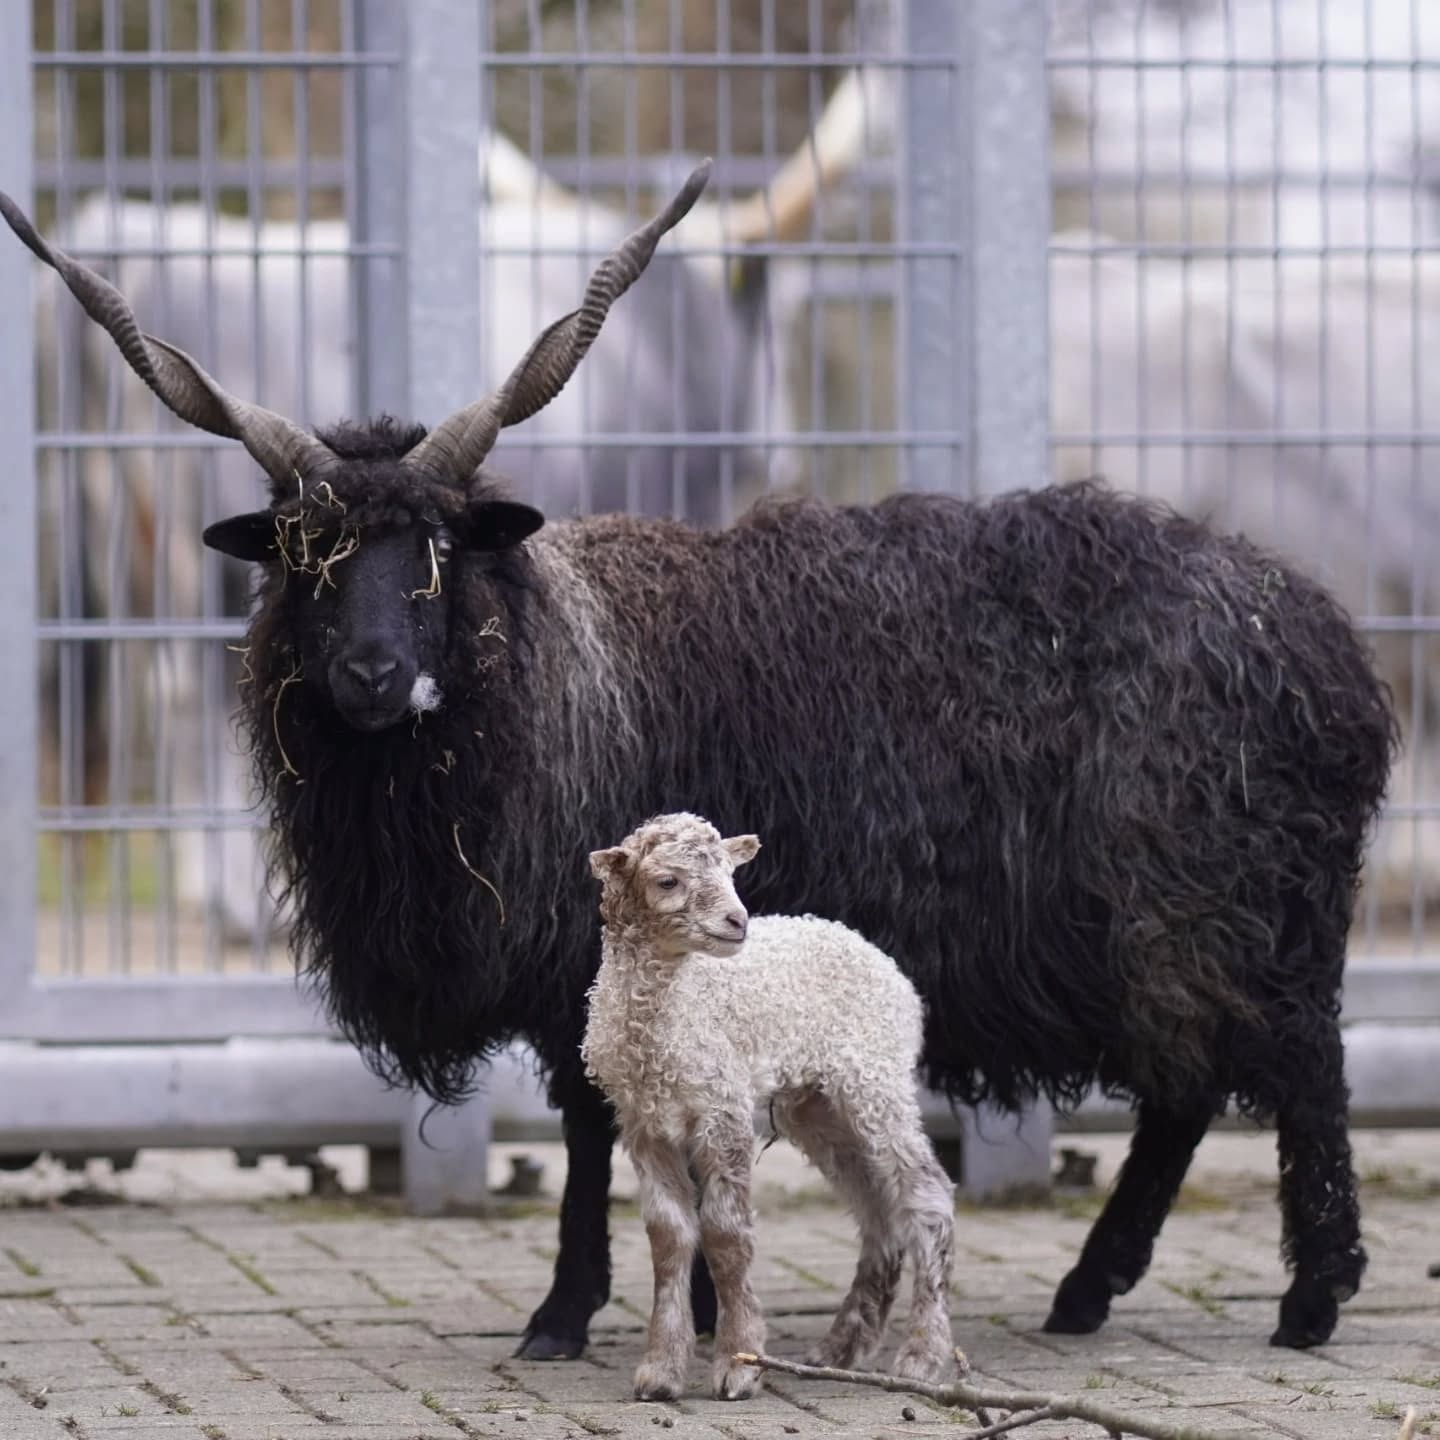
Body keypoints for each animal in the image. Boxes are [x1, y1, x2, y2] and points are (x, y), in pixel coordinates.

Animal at [582, 812, 955, 1400]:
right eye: (667, 881)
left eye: (730, 873)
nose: (737, 921)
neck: (669, 1015)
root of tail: (884, 964)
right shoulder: (644, 1121)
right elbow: (668, 1237)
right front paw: (660, 1371)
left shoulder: (724, 1108)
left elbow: (725, 1234)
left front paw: (739, 1364)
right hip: (817, 1105)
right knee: (876, 1209)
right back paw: (840, 1349)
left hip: (875, 1079)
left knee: (928, 1195)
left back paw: (922, 1356)